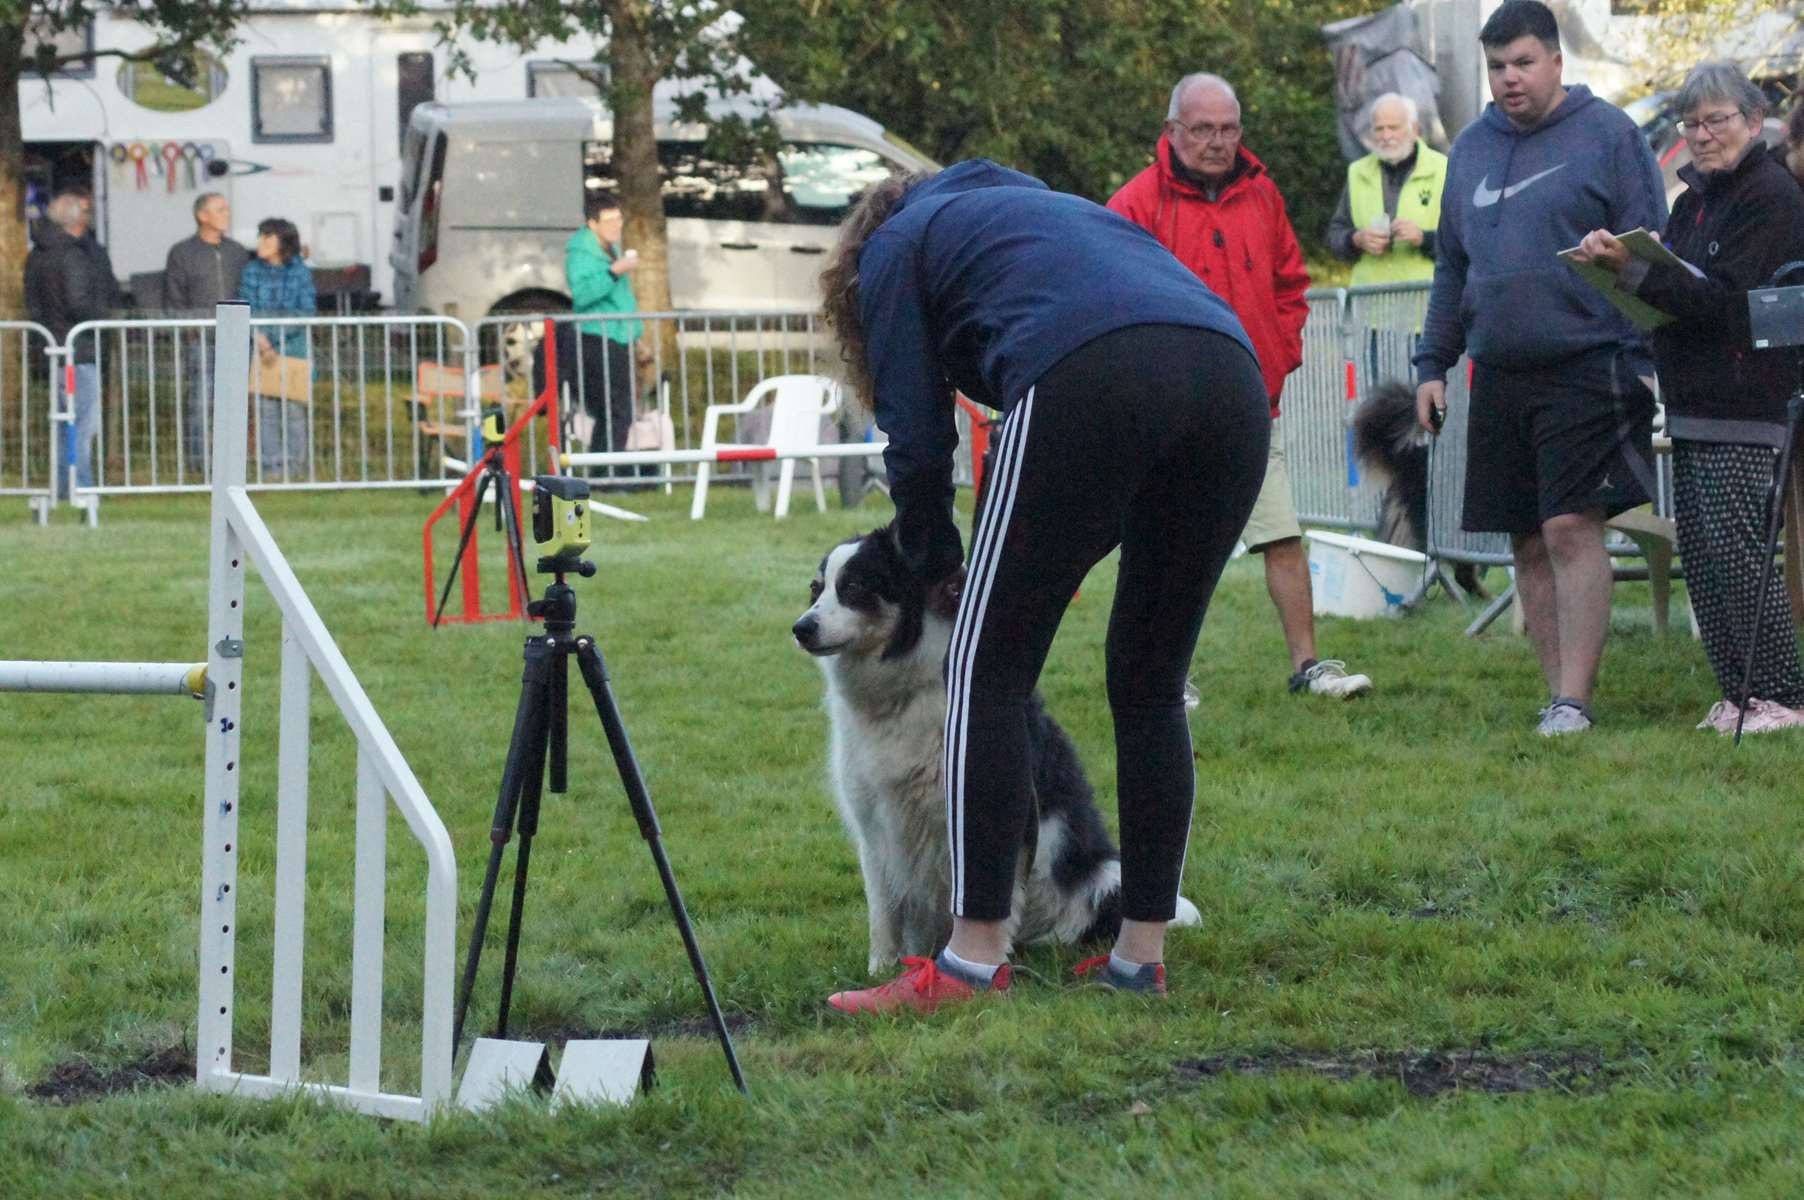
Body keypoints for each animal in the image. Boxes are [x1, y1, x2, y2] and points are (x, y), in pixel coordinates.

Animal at [793, 523, 1197, 974]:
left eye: (855, 586)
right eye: (816, 589)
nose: (801, 628)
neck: (900, 694)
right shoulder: (875, 824)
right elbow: (884, 910)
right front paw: (883, 972)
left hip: (1104, 875)